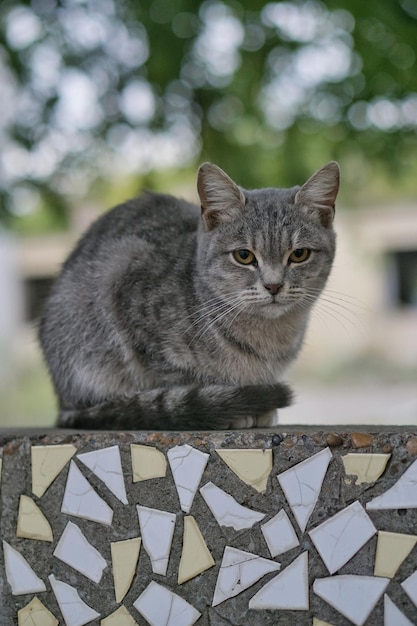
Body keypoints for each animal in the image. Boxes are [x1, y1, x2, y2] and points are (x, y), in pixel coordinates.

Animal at [39, 158, 338, 426]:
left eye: (299, 254)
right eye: (244, 256)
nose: (273, 285)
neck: (269, 337)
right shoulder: (128, 297)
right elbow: (180, 378)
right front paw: (229, 405)